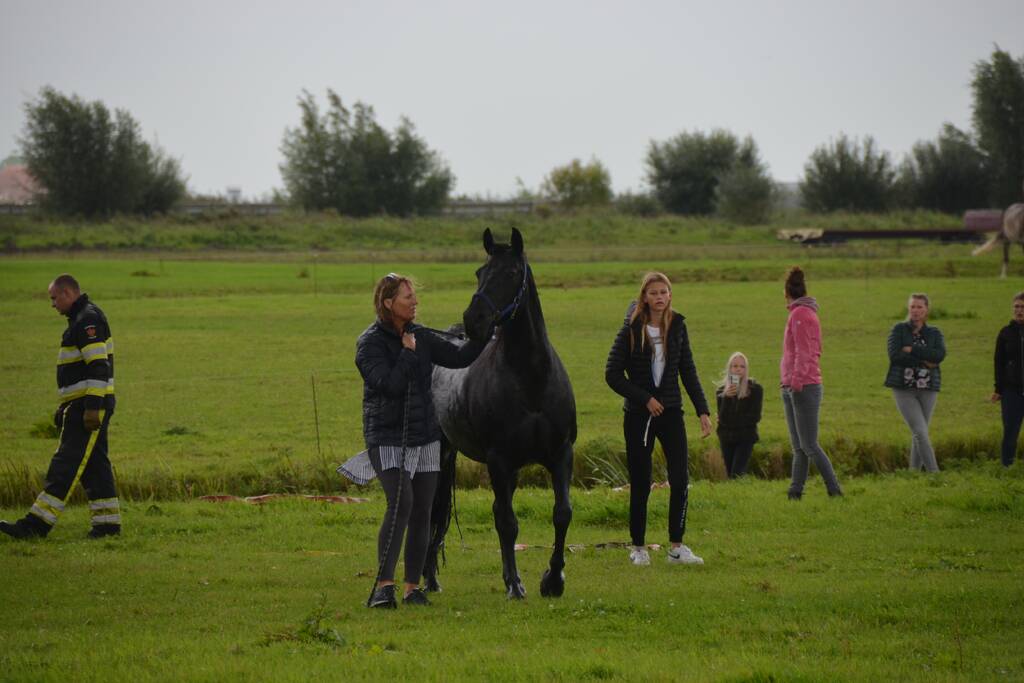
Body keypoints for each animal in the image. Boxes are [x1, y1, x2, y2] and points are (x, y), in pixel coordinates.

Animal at [425, 227, 577, 599]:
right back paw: (429, 578)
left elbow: (562, 513)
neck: (531, 379)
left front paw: (553, 580)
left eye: (510, 273)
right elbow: (507, 522)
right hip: (444, 453)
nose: (474, 320)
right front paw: (515, 585)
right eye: (480, 272)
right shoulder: (499, 459)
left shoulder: (560, 454)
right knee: (435, 511)